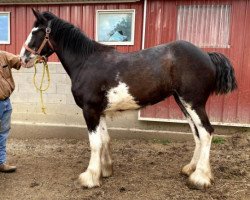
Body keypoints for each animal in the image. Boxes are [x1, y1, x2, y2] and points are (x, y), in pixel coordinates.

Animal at [20, 9, 236, 191]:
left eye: (36, 31)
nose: (23, 58)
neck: (86, 61)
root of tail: (207, 55)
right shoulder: (99, 111)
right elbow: (105, 139)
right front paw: (105, 170)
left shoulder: (89, 110)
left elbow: (95, 143)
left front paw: (90, 177)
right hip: (183, 103)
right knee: (197, 134)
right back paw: (191, 169)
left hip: (194, 103)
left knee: (206, 132)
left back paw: (200, 178)